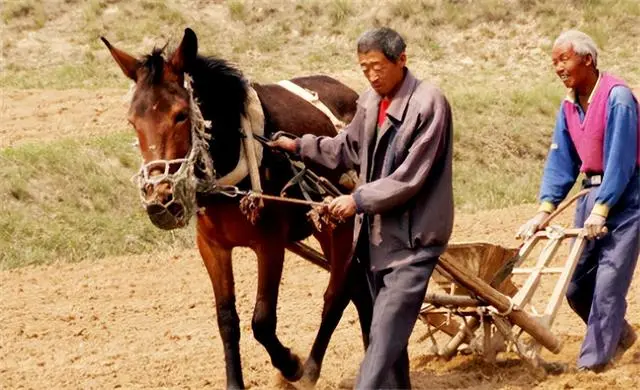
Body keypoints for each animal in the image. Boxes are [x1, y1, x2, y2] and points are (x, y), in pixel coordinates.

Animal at [102, 29, 372, 388]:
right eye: (133, 121)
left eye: (181, 114)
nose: (161, 201)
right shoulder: (212, 246)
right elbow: (226, 319)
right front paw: (235, 381)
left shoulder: (270, 244)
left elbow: (263, 321)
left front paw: (291, 365)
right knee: (359, 289)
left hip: (339, 221)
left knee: (338, 294)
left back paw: (312, 368)